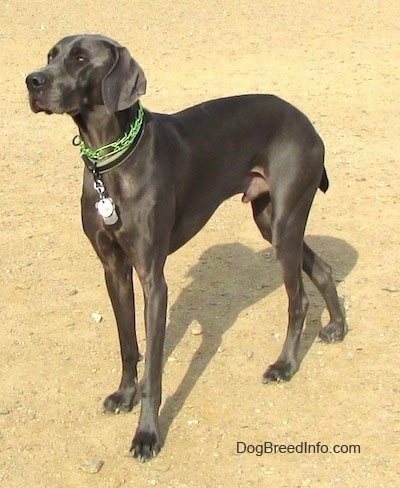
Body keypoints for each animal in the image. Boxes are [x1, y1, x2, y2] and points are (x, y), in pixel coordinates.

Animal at [25, 33, 346, 462]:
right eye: (50, 55)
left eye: (80, 59)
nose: (32, 81)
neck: (112, 161)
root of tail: (305, 121)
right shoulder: (114, 268)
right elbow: (128, 343)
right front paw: (125, 394)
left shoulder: (153, 278)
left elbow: (154, 370)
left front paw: (147, 434)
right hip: (270, 223)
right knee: (323, 269)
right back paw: (337, 326)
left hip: (286, 221)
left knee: (299, 300)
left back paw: (285, 365)